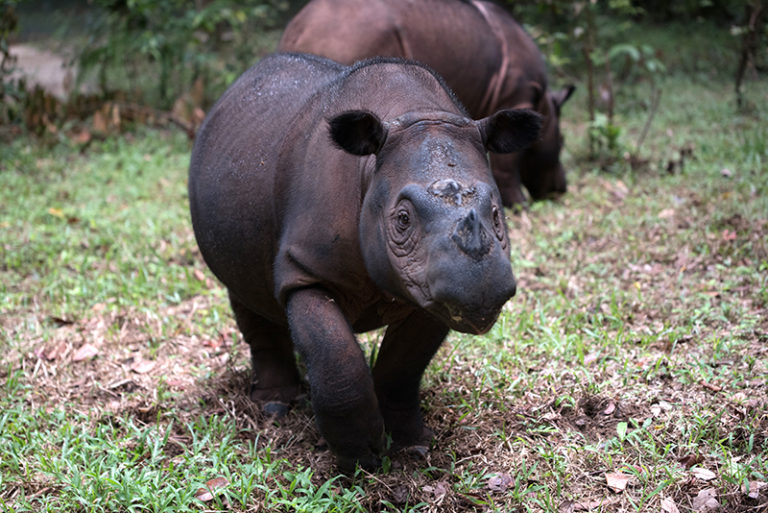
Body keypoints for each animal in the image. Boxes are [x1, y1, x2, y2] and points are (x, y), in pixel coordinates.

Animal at [189, 52, 544, 468]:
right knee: (243, 292)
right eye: (402, 219)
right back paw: (275, 407)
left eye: (496, 214)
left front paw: (411, 444)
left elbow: (403, 366)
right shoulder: (307, 270)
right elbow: (335, 355)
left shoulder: (432, 289)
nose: (481, 290)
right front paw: (362, 456)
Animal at [280, 0, 572, 208]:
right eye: (562, 142)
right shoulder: (516, 97)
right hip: (351, 35)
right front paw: (519, 206)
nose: (561, 188)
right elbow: (507, 161)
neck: (544, 105)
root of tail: (298, 28)